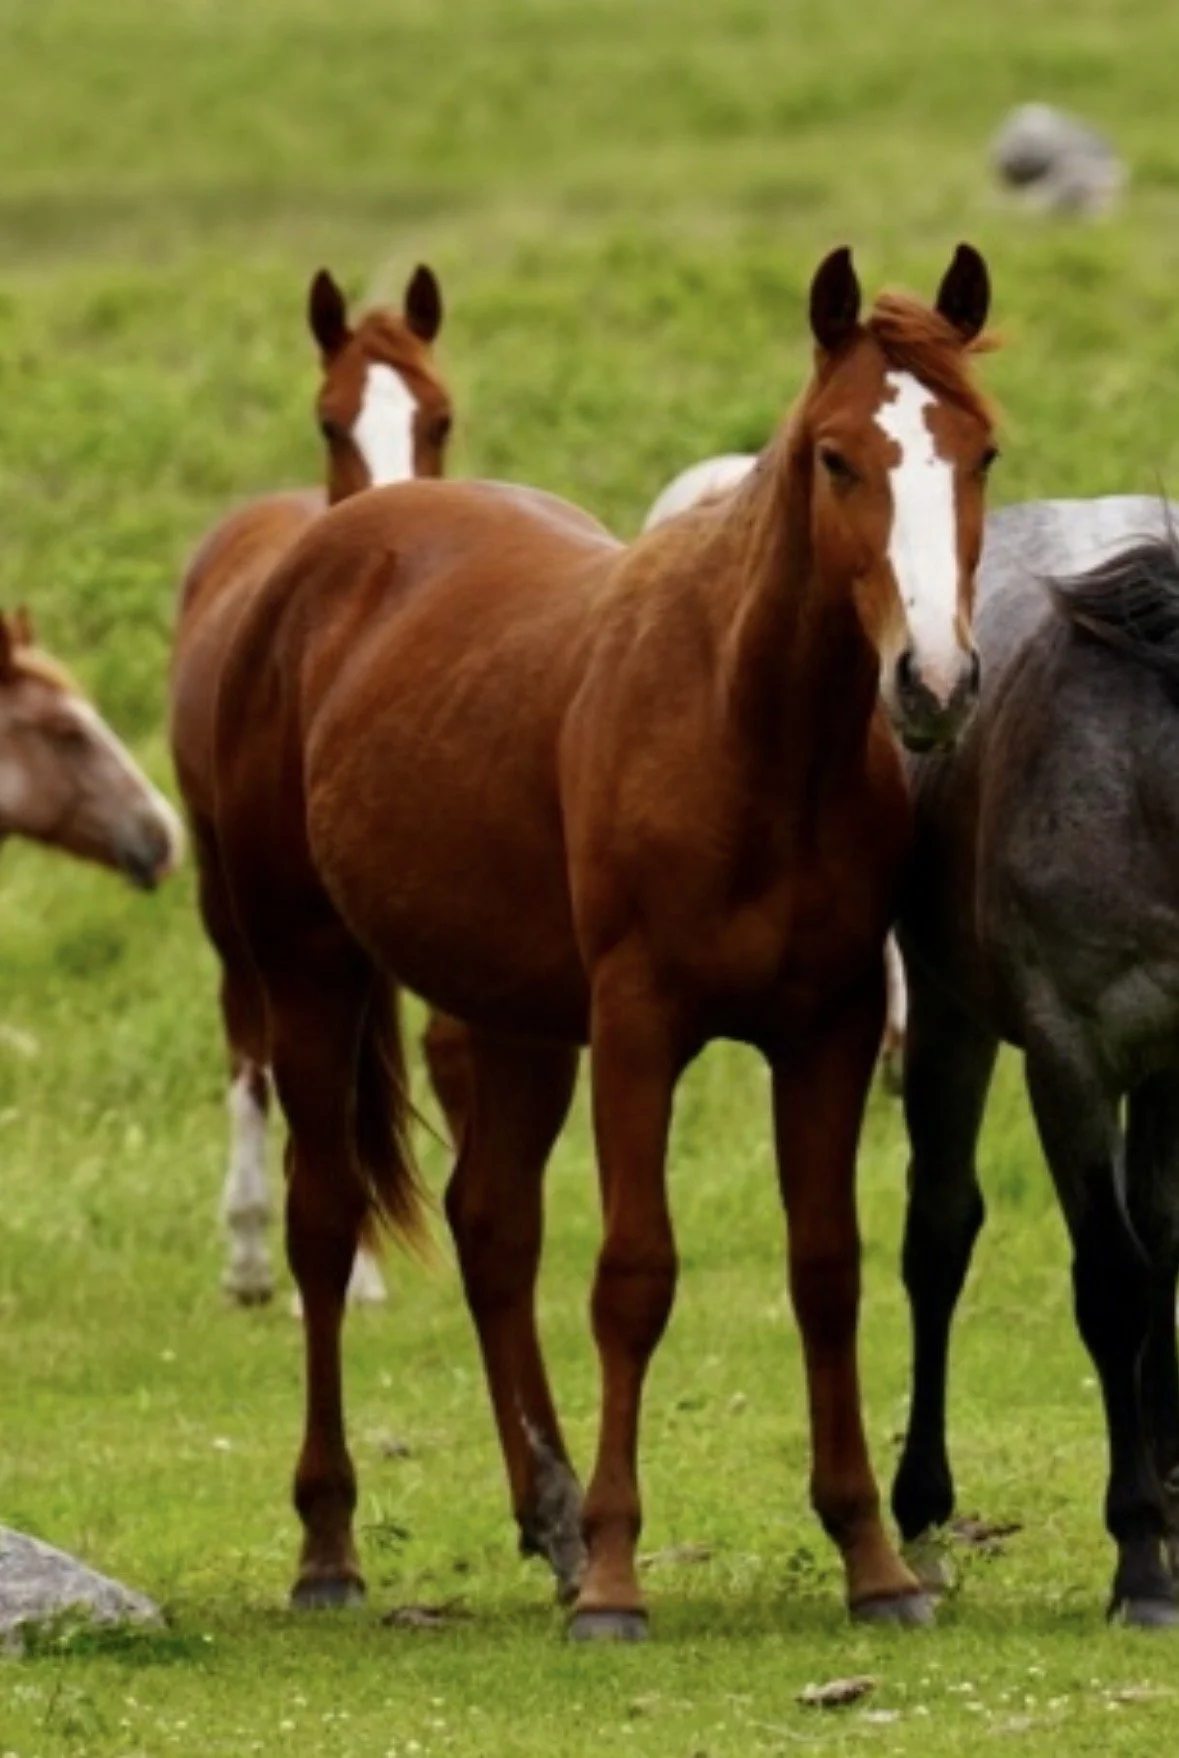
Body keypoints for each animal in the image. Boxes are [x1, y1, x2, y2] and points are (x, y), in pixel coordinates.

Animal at [889, 495, 1179, 1628]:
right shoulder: (1068, 1056)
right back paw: (920, 1513)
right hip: (948, 1020)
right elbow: (1110, 1285)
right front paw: (1140, 1563)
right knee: (937, 1237)